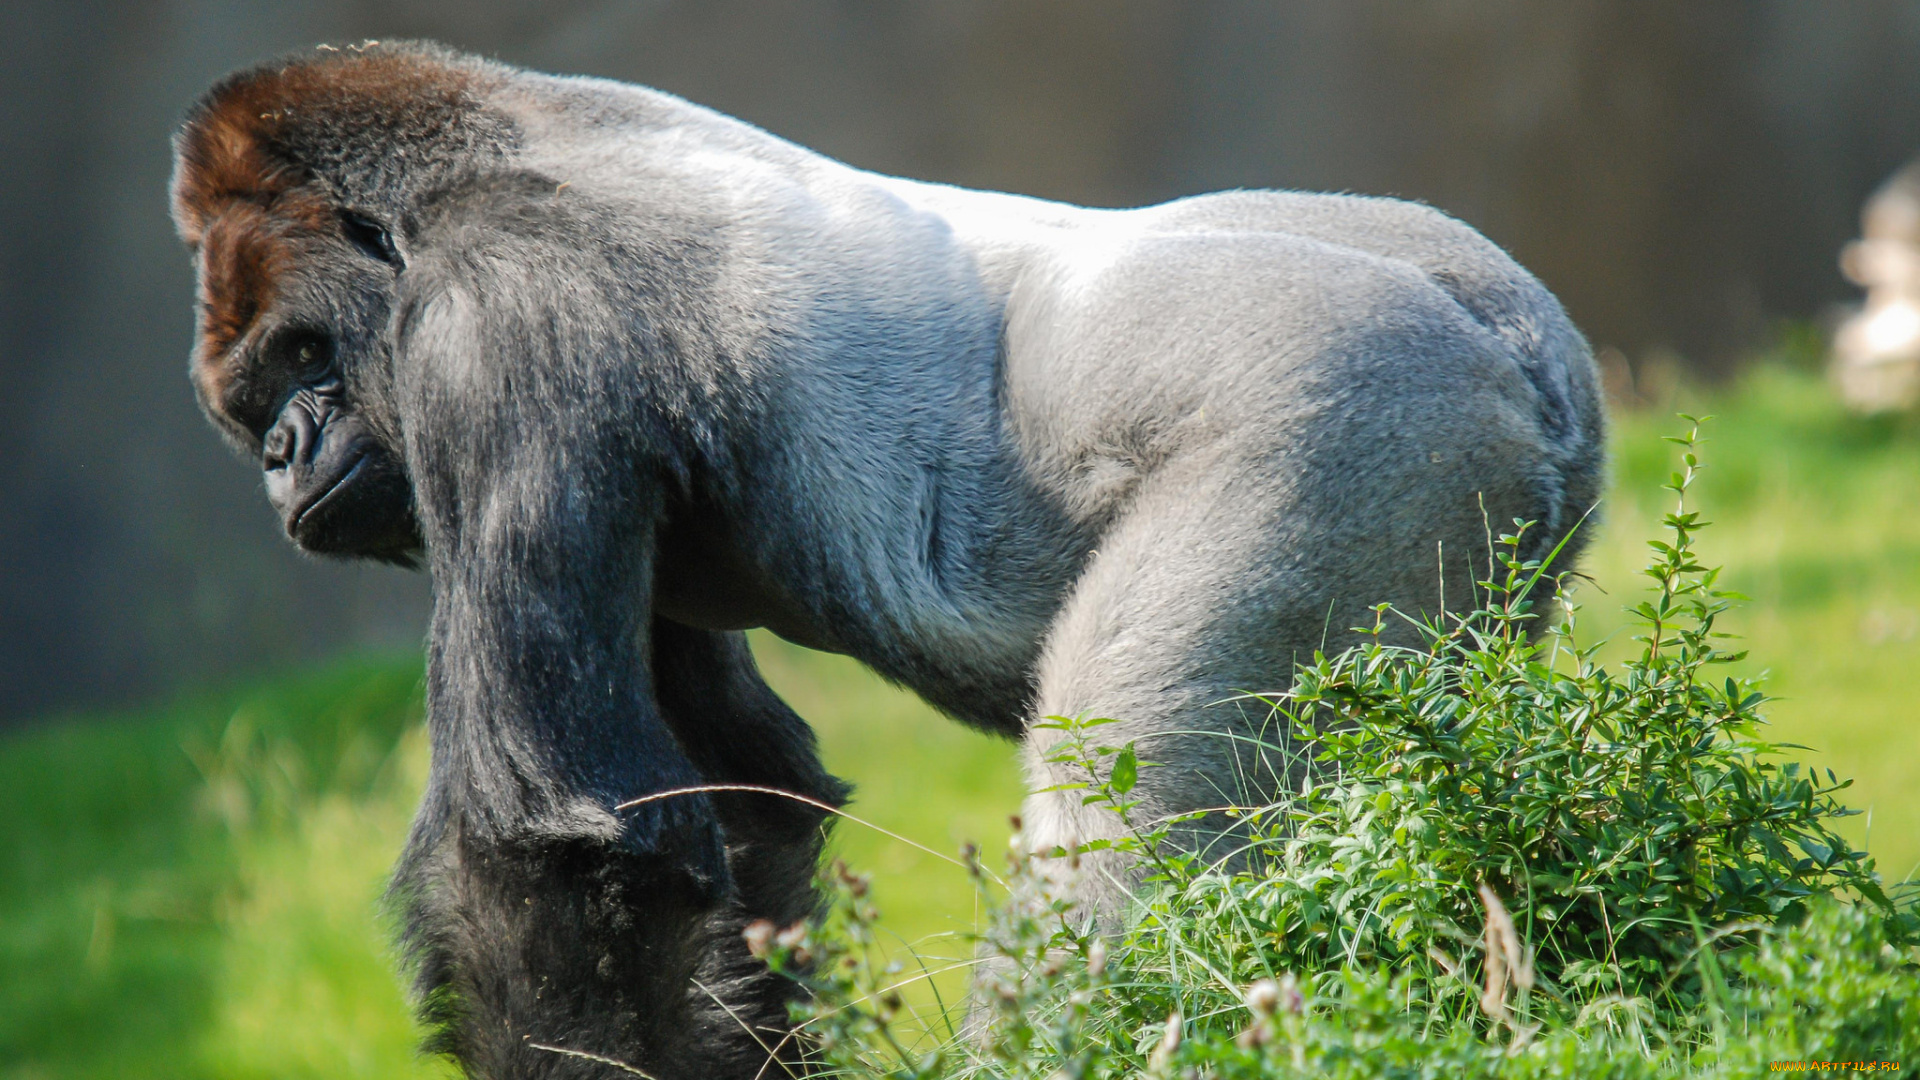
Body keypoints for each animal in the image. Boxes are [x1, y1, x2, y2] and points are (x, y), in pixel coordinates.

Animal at [168, 42, 1605, 1076]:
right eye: (258, 405)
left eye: (303, 353)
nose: (282, 455)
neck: (450, 187)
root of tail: (1518, 337)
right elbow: (741, 796)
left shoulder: (497, 323)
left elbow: (552, 851)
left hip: (1357, 410)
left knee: (1114, 837)